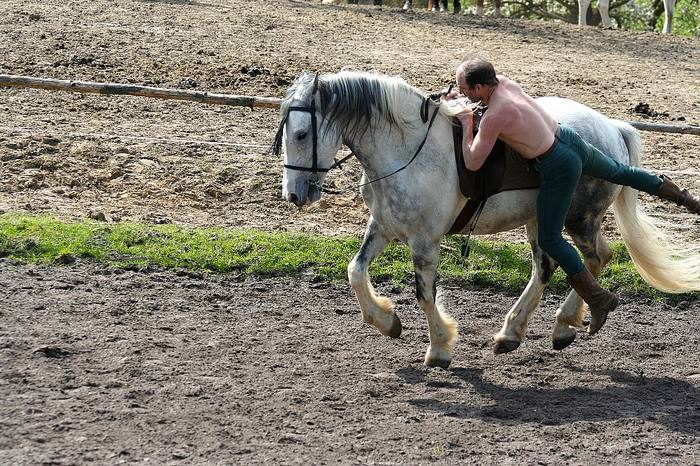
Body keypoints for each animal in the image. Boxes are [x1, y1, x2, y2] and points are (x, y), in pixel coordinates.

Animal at [274, 70, 700, 368]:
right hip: (540, 221)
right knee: (547, 268)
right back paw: (516, 332)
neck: (407, 149)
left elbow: (425, 295)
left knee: (594, 258)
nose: (294, 195)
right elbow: (355, 271)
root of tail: (613, 128)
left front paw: (439, 349)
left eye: (301, 133)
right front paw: (387, 321)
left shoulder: (424, 240)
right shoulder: (383, 228)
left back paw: (570, 320)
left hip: (577, 219)